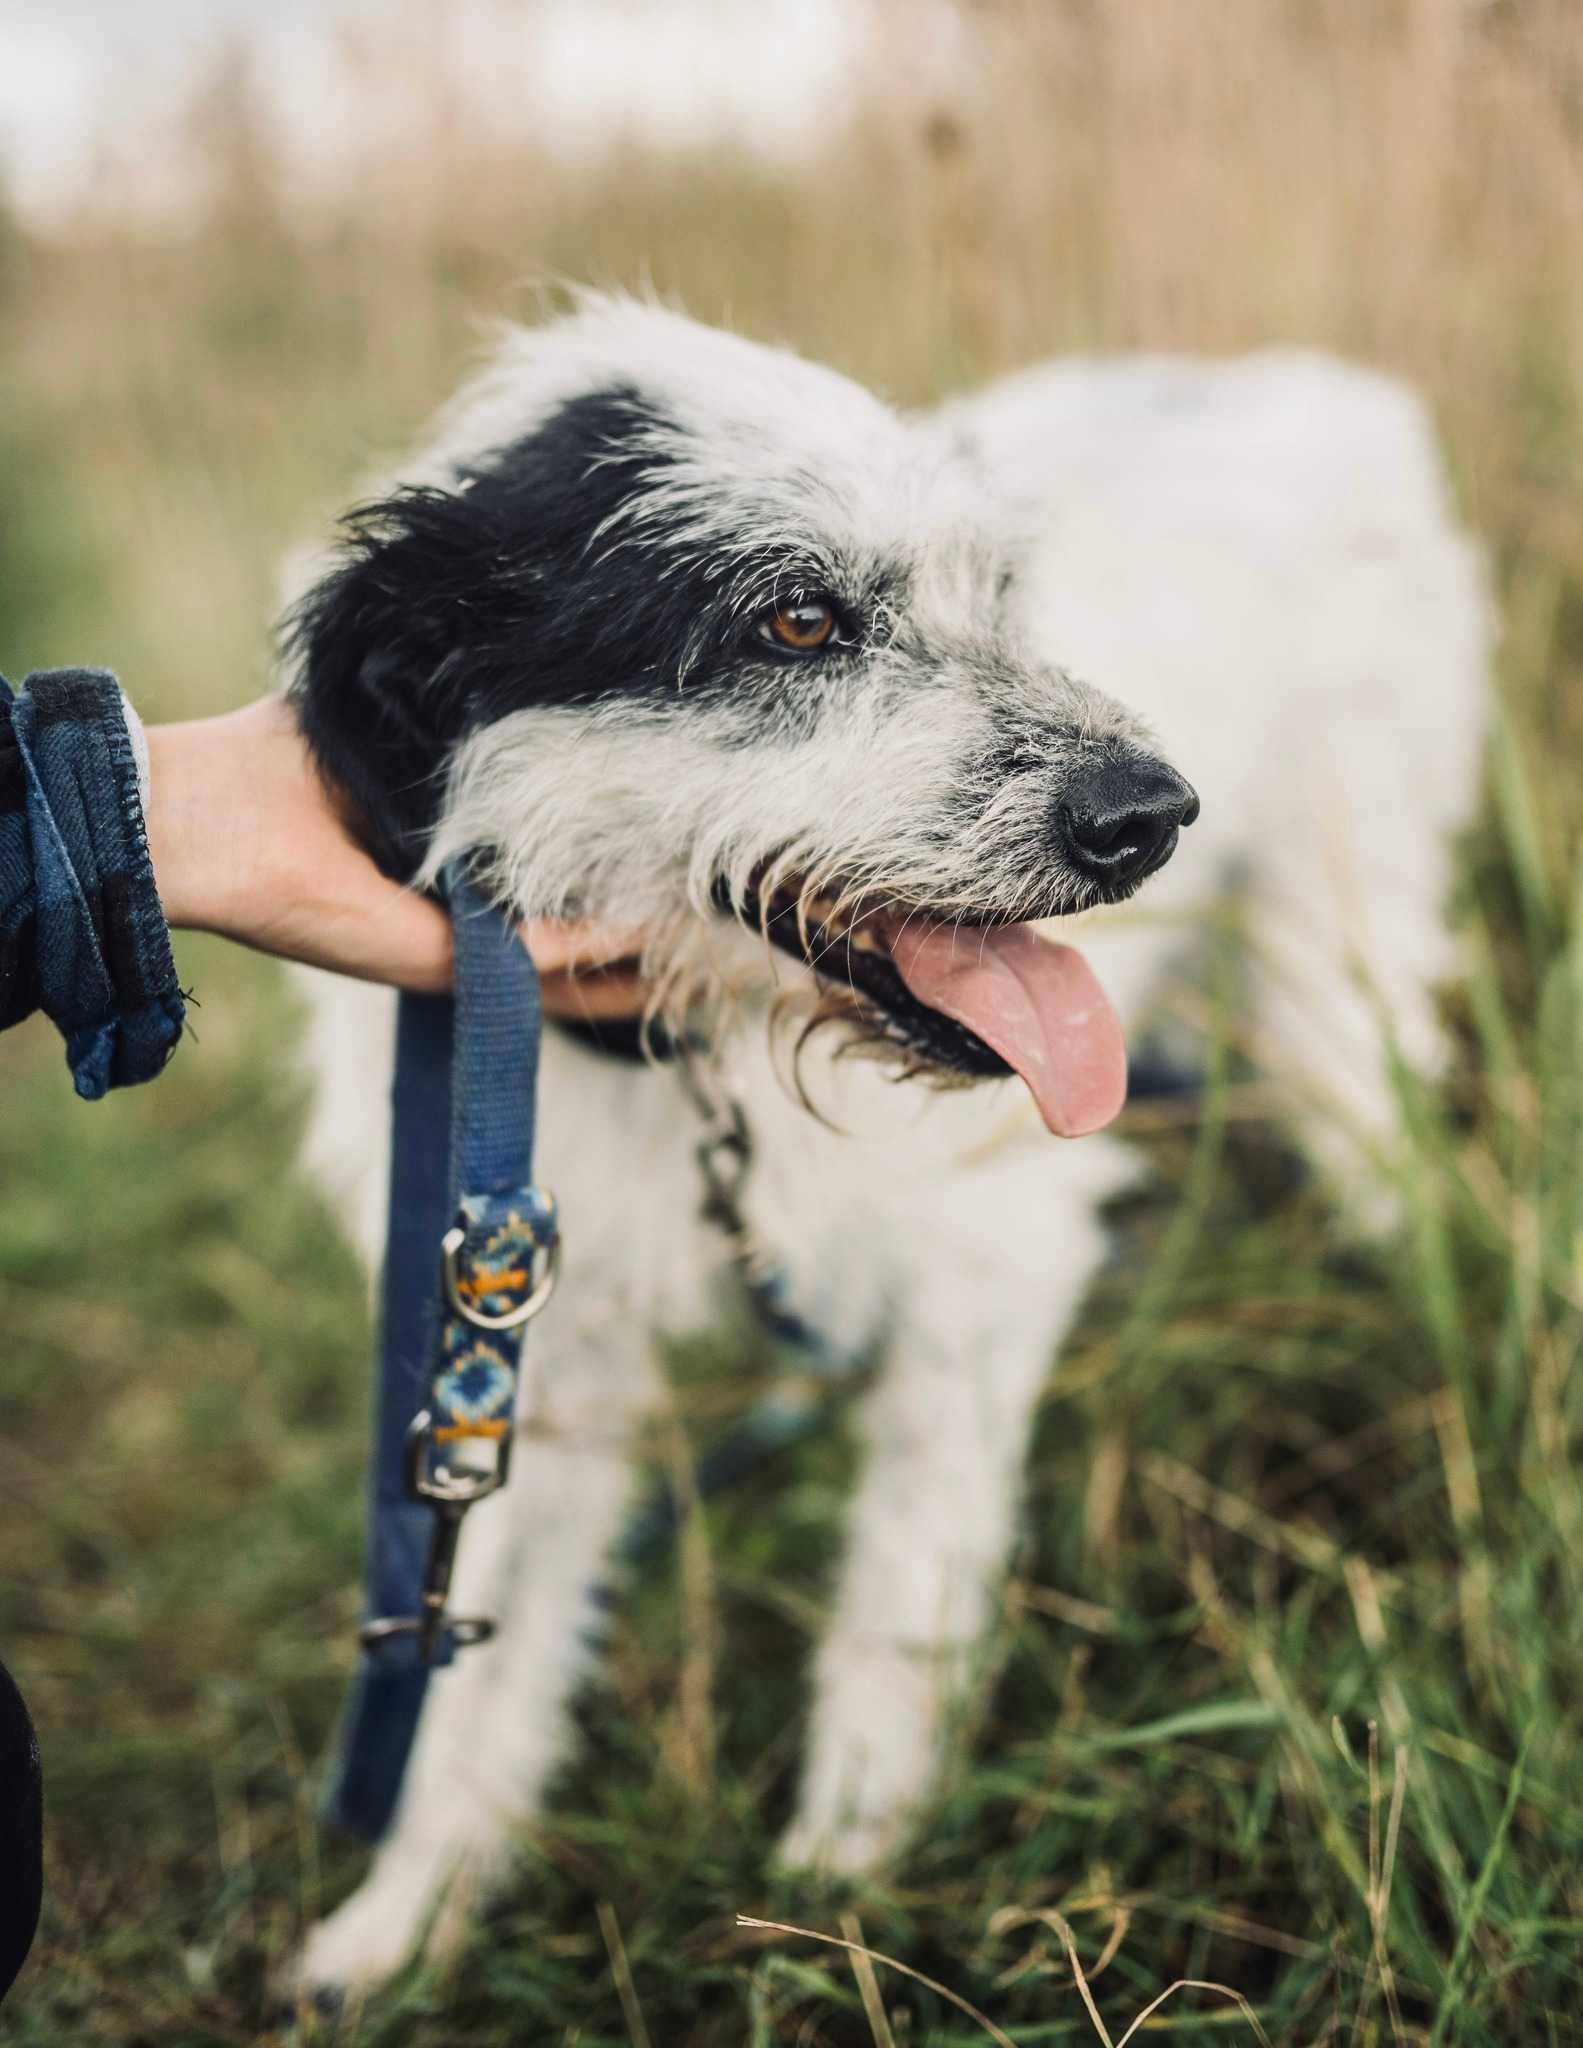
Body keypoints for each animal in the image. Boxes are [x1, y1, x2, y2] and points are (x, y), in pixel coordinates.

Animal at [280, 296, 1482, 1990]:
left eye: (999, 594)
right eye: (795, 622)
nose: (1148, 815)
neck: (703, 1060)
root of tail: (1311, 383)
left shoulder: (980, 1273)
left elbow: (900, 1586)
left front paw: (846, 1868)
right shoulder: (528, 1340)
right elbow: (473, 1642)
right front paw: (407, 1916)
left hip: (1336, 952)